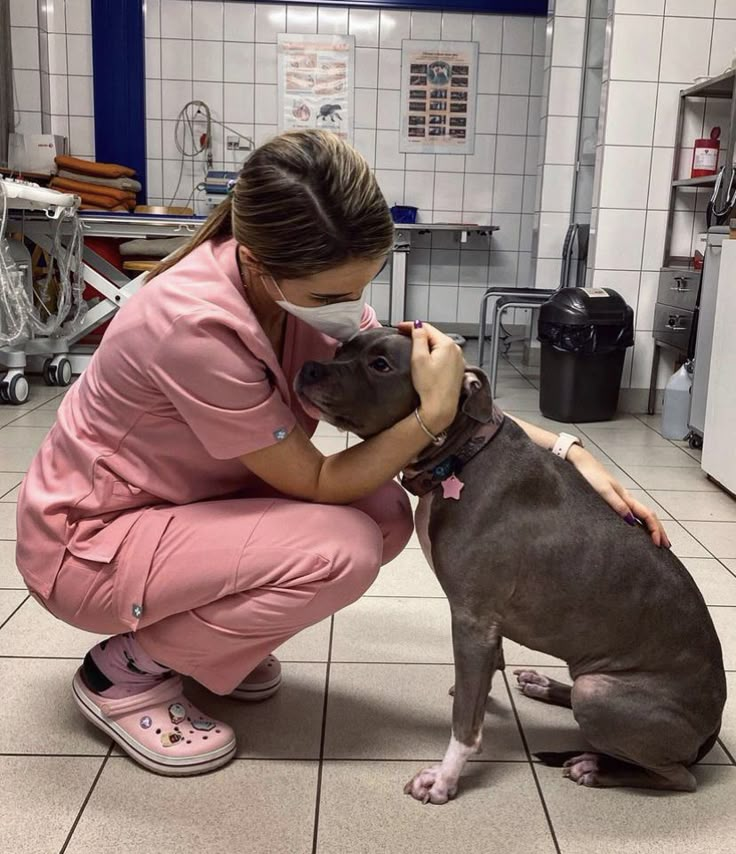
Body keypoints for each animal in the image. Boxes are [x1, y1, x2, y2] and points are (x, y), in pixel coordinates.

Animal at [296, 332, 728, 804]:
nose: (308, 368)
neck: (464, 454)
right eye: (343, 347)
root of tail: (712, 731)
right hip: (591, 679)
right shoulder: (486, 627)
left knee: (677, 778)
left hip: (601, 693)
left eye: (380, 364)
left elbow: (465, 721)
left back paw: (595, 767)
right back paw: (546, 686)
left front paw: (445, 778)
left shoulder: (472, 620)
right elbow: (482, 682)